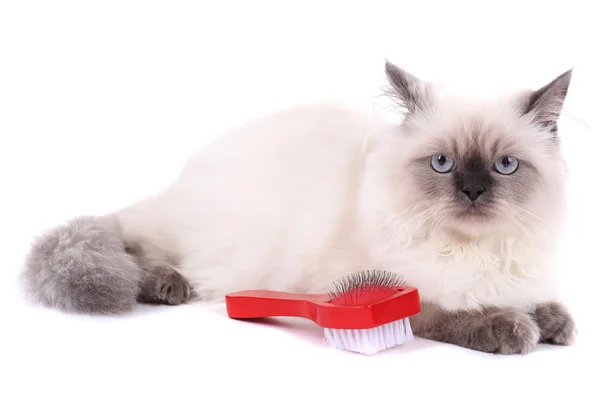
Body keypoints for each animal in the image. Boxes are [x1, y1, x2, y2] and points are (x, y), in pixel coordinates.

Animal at [22, 59, 576, 354]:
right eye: (442, 163)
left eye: (505, 166)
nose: (473, 191)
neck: (472, 251)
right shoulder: (375, 292)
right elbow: (453, 312)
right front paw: (511, 328)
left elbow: (537, 302)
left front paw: (555, 324)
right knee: (138, 247)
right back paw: (165, 285)